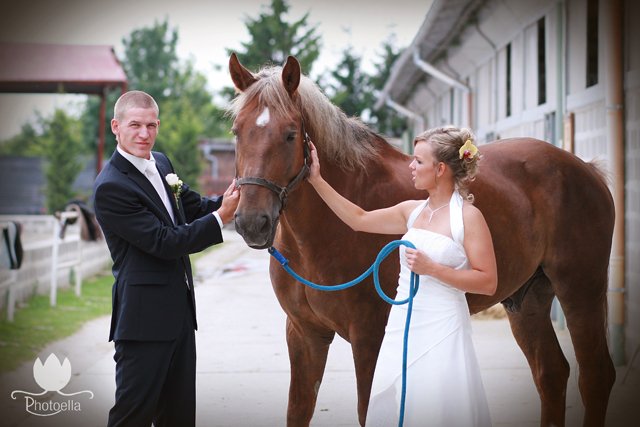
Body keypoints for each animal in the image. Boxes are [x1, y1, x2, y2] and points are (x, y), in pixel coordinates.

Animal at [227, 53, 616, 427]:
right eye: (236, 132)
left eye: (291, 134)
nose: (252, 222)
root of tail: (586, 169)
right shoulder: (304, 334)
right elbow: (298, 410)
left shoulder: (370, 337)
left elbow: (368, 411)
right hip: (527, 299)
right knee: (551, 374)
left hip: (580, 290)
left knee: (595, 376)